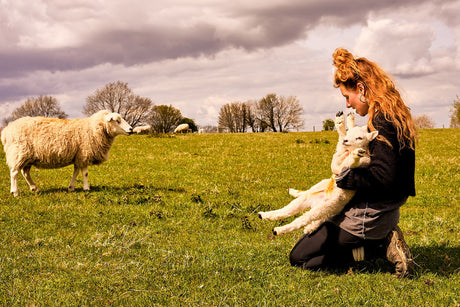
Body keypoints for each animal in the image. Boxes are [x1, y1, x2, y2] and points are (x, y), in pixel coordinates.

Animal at [1, 110, 135, 197]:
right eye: (117, 121)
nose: (131, 129)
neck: (93, 128)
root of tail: (6, 131)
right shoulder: (84, 153)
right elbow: (85, 173)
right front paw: (86, 188)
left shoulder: (78, 156)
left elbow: (76, 172)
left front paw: (71, 188)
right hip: (18, 153)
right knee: (14, 173)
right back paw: (15, 192)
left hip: (28, 157)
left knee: (25, 173)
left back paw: (35, 188)